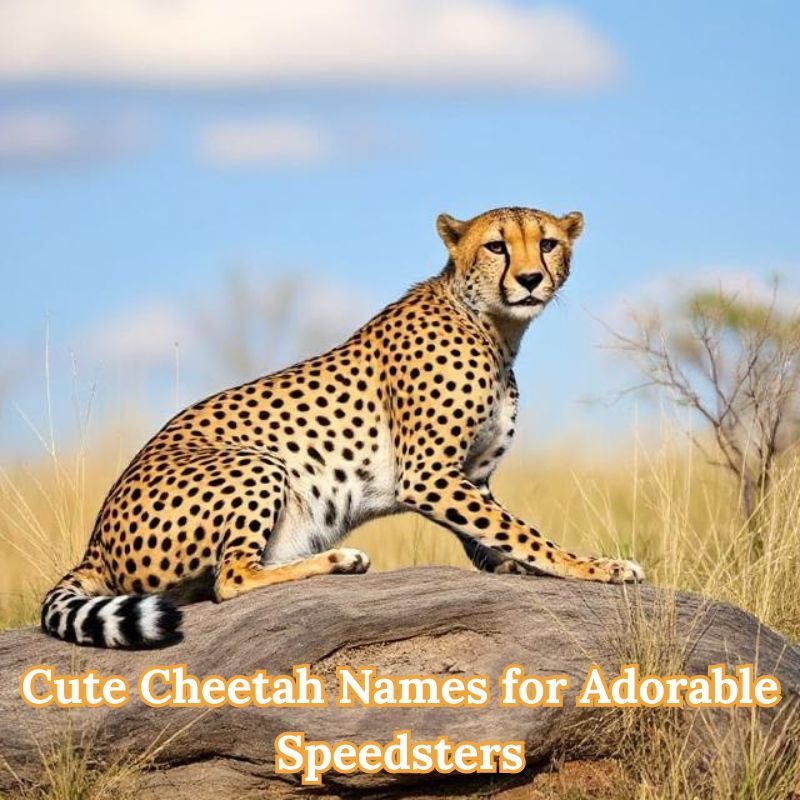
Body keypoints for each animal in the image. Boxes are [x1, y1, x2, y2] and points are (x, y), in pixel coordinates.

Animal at [41, 205, 643, 649]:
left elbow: (495, 533)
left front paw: (515, 567)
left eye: (548, 243)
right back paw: (337, 560)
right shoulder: (429, 476)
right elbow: (524, 531)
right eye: (497, 246)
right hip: (257, 462)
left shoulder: (471, 477)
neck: (494, 327)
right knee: (228, 580)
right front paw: (596, 566)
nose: (530, 279)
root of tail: (94, 543)